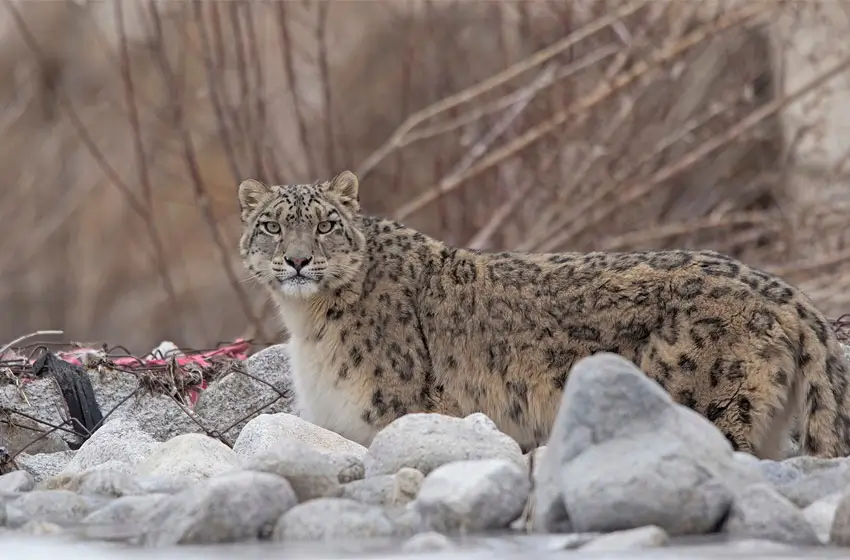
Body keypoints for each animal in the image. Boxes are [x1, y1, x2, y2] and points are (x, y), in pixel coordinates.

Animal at [237, 170, 850, 460]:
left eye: (325, 224)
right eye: (271, 225)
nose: (298, 259)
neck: (307, 325)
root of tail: (782, 289)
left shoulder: (396, 413)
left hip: (709, 403)